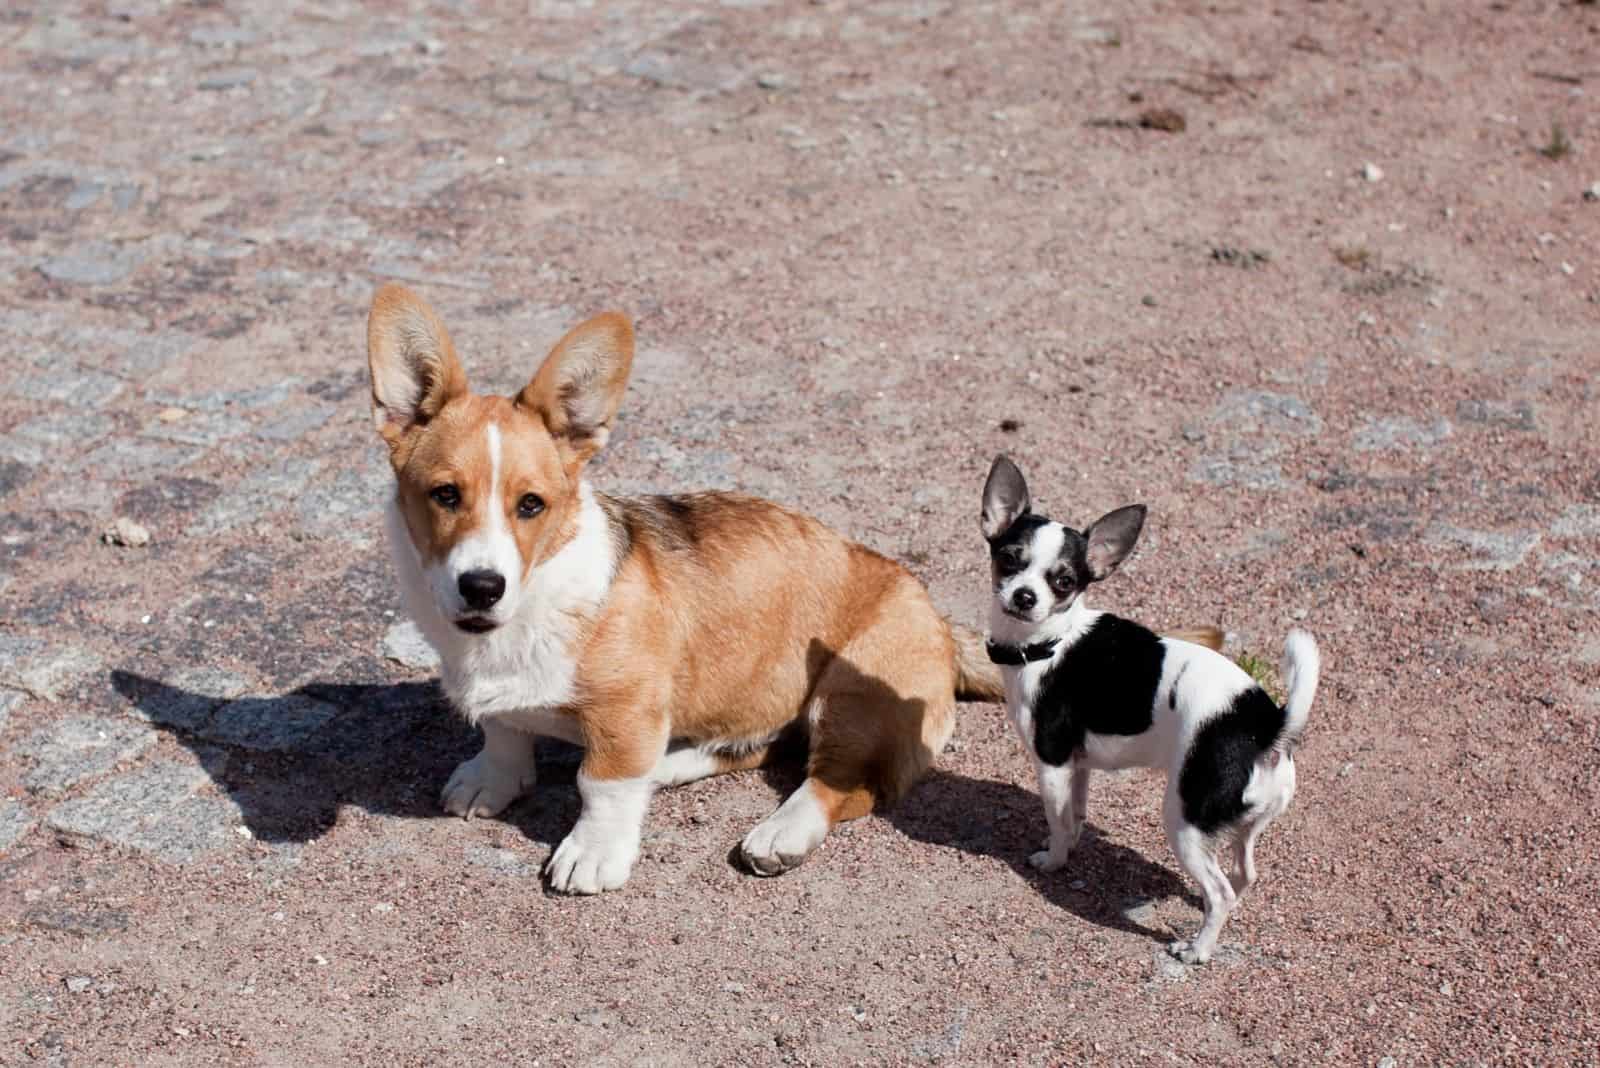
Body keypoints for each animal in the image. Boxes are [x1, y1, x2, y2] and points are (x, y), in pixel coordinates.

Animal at [366, 282, 1004, 895]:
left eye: (531, 505)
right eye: (445, 495)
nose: (482, 587)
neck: (526, 607)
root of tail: (944, 624)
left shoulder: (625, 713)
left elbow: (601, 783)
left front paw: (593, 854)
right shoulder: (510, 705)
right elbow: (503, 734)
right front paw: (492, 780)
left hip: (854, 694)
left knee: (843, 783)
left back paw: (780, 834)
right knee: (759, 744)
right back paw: (670, 765)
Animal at [979, 454, 1318, 965]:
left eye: (1064, 582)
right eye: (1010, 559)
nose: (1024, 596)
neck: (1049, 642)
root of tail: (1267, 725)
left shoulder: (1052, 764)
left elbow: (1057, 820)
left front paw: (1053, 860)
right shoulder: (1078, 765)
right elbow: (1076, 815)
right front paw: (1071, 844)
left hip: (1184, 821)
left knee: (1221, 891)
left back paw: (1197, 949)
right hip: (1245, 824)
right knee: (1243, 875)